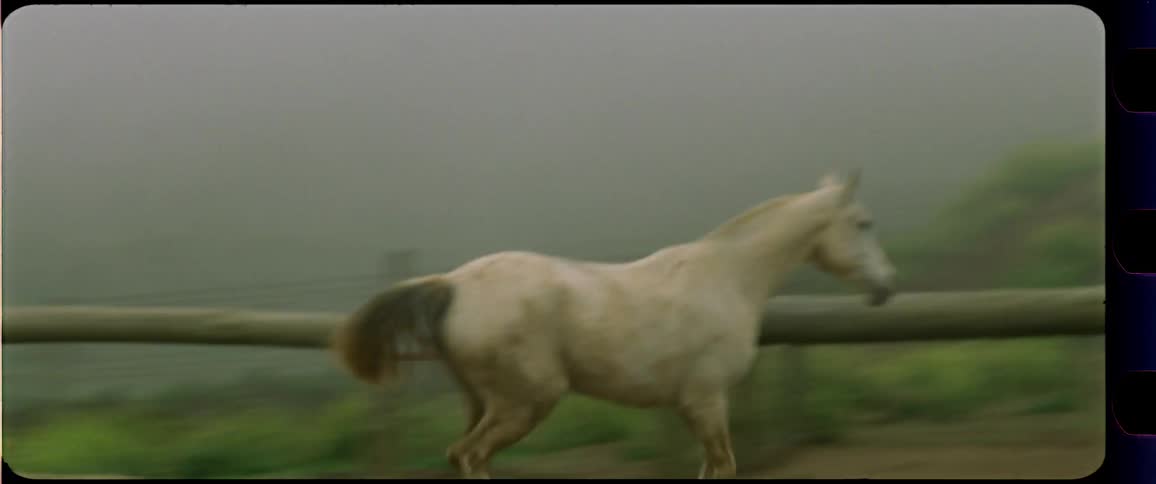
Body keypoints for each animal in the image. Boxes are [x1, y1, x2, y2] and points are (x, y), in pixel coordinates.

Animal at [330, 170, 896, 479]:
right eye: (863, 222)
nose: (887, 286)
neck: (728, 279)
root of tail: (453, 283)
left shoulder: (691, 406)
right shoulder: (707, 398)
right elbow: (724, 466)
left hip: (481, 401)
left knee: (460, 455)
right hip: (525, 401)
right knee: (470, 456)